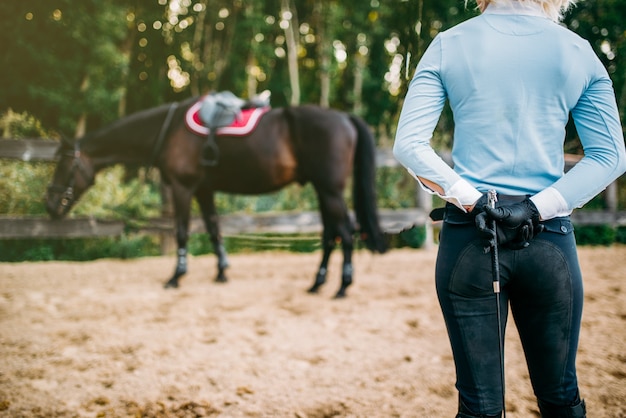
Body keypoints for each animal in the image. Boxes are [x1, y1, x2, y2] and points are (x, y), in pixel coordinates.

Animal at [45, 95, 386, 298]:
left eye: (63, 164)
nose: (49, 205)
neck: (167, 131)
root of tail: (344, 118)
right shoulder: (204, 190)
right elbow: (213, 228)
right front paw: (221, 272)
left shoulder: (182, 188)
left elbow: (183, 231)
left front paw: (176, 277)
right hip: (322, 190)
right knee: (330, 234)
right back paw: (317, 283)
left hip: (330, 190)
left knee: (345, 232)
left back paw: (342, 286)